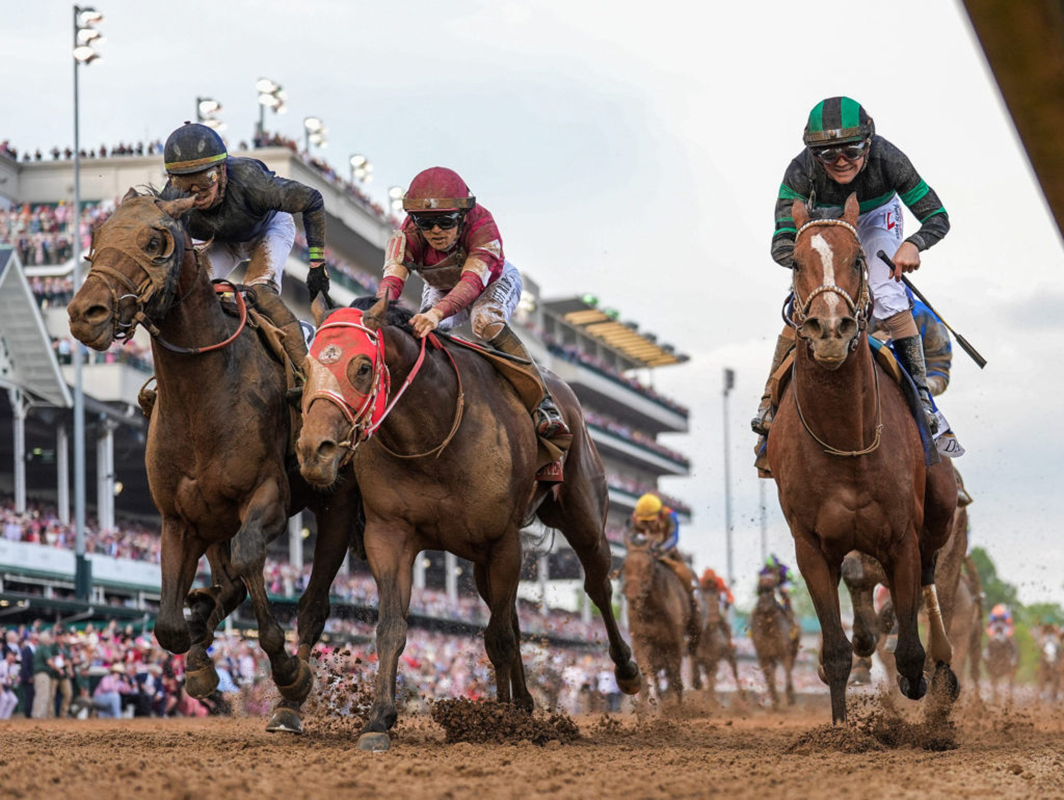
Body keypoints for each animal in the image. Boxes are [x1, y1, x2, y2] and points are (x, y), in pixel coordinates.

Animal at [66, 189, 359, 736]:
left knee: (311, 604)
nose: (83, 313)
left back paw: (290, 702)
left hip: (337, 504)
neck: (203, 392)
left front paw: (287, 672)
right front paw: (199, 658)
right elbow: (168, 624)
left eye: (155, 241)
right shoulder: (181, 518)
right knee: (231, 588)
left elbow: (249, 564)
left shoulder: (267, 497)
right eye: (96, 235)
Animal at [295, 293, 634, 748]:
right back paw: (521, 702)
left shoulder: (503, 541)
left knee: (596, 585)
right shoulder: (390, 535)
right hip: (480, 561)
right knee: (510, 615)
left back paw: (625, 671)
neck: (433, 433)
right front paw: (379, 719)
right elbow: (392, 627)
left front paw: (505, 723)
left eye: (363, 367)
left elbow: (499, 638)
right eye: (306, 364)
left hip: (584, 518)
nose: (314, 450)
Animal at [749, 570, 800, 710]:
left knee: (790, 669)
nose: (763, 603)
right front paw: (775, 701)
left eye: (772, 589)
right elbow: (769, 678)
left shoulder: (785, 652)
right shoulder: (764, 655)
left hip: (793, 649)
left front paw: (789, 699)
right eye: (759, 589)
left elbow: (787, 673)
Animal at [770, 195, 961, 723]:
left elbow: (910, 651)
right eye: (796, 263)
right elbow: (835, 650)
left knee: (930, 580)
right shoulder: (812, 547)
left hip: (939, 513)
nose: (831, 329)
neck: (844, 437)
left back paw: (942, 670)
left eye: (857, 260)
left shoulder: (901, 538)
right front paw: (840, 726)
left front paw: (919, 682)